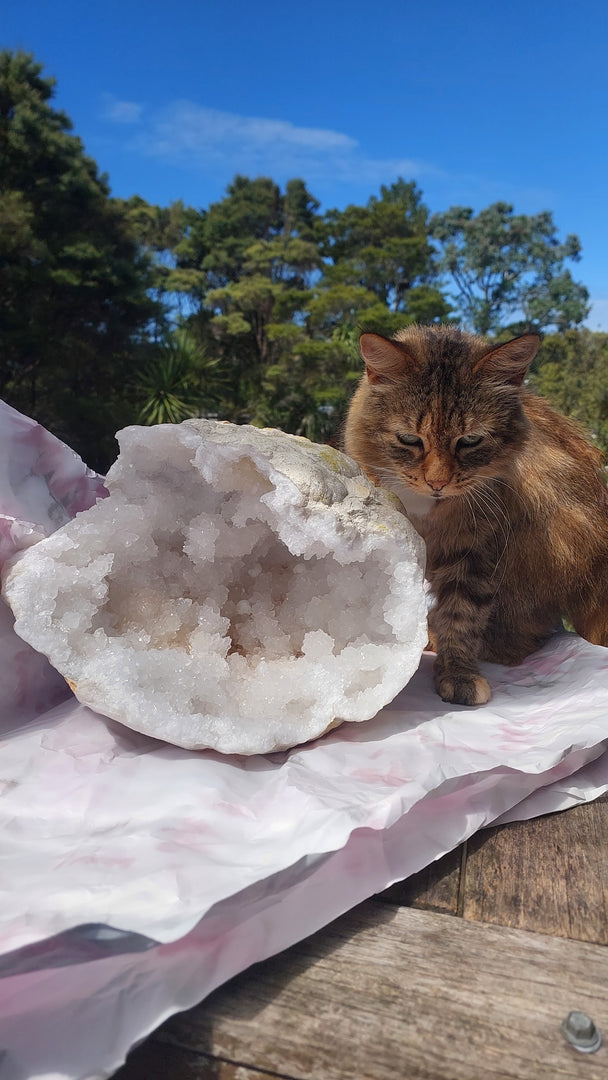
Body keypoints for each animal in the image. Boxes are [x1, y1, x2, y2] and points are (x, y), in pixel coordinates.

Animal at [345, 324, 608, 704]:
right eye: (409, 439)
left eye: (469, 441)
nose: (437, 482)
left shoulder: (476, 551)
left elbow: (462, 616)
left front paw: (458, 674)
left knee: (520, 637)